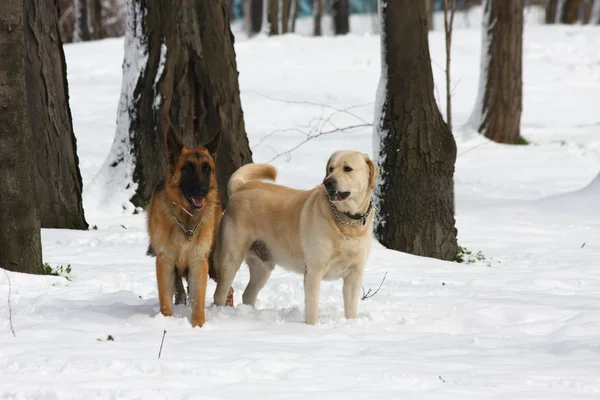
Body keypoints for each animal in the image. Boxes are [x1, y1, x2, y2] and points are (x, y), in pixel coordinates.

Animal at [146, 130, 233, 326]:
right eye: (187, 168)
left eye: (207, 169)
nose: (202, 191)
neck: (186, 220)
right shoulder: (165, 262)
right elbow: (165, 300)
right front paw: (166, 323)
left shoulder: (198, 262)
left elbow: (198, 302)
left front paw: (198, 327)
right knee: (180, 292)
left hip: (213, 263)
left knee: (228, 289)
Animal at [213, 151, 378, 324]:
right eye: (331, 169)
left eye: (348, 168)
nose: (328, 182)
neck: (347, 224)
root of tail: (240, 188)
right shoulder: (314, 271)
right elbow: (312, 308)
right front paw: (312, 327)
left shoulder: (355, 273)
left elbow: (351, 309)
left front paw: (351, 323)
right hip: (230, 259)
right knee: (220, 293)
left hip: (262, 267)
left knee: (248, 294)